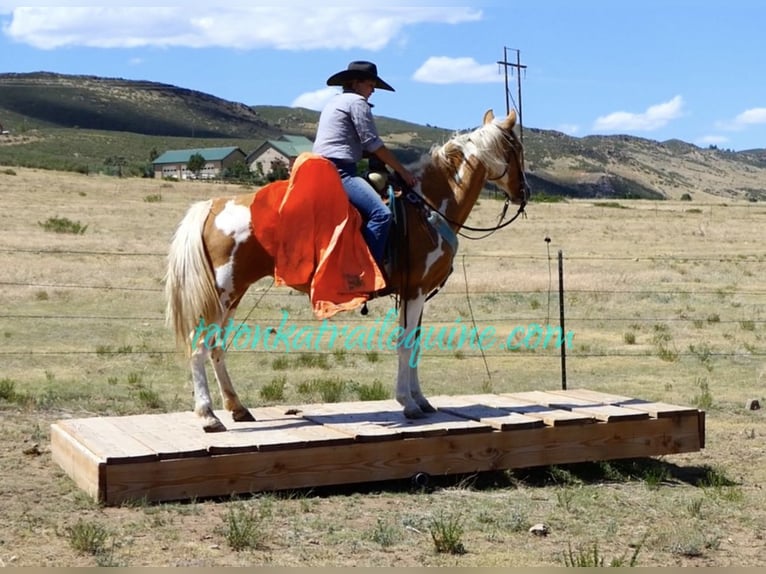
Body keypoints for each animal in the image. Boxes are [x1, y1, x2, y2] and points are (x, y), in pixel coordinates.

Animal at [165, 109, 532, 432]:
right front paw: (408, 404)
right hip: (222, 295)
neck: (426, 206)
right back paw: (209, 416)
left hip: (232, 294)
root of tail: (213, 206)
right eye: (516, 148)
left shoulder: (417, 293)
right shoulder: (414, 290)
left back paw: (238, 408)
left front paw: (421, 400)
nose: (524, 192)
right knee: (199, 346)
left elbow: (414, 344)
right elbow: (404, 344)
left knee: (216, 346)